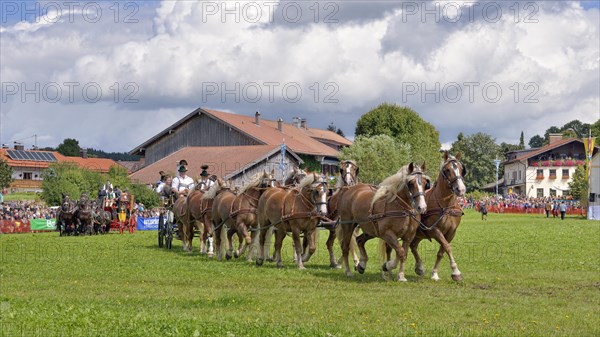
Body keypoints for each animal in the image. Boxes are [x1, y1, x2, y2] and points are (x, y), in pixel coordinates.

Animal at [410, 151, 466, 280]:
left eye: (461, 169)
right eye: (447, 170)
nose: (460, 189)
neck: (446, 205)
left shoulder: (451, 232)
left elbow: (442, 251)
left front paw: (435, 273)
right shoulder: (434, 230)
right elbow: (447, 247)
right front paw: (456, 271)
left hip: (418, 234)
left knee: (413, 246)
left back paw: (419, 267)